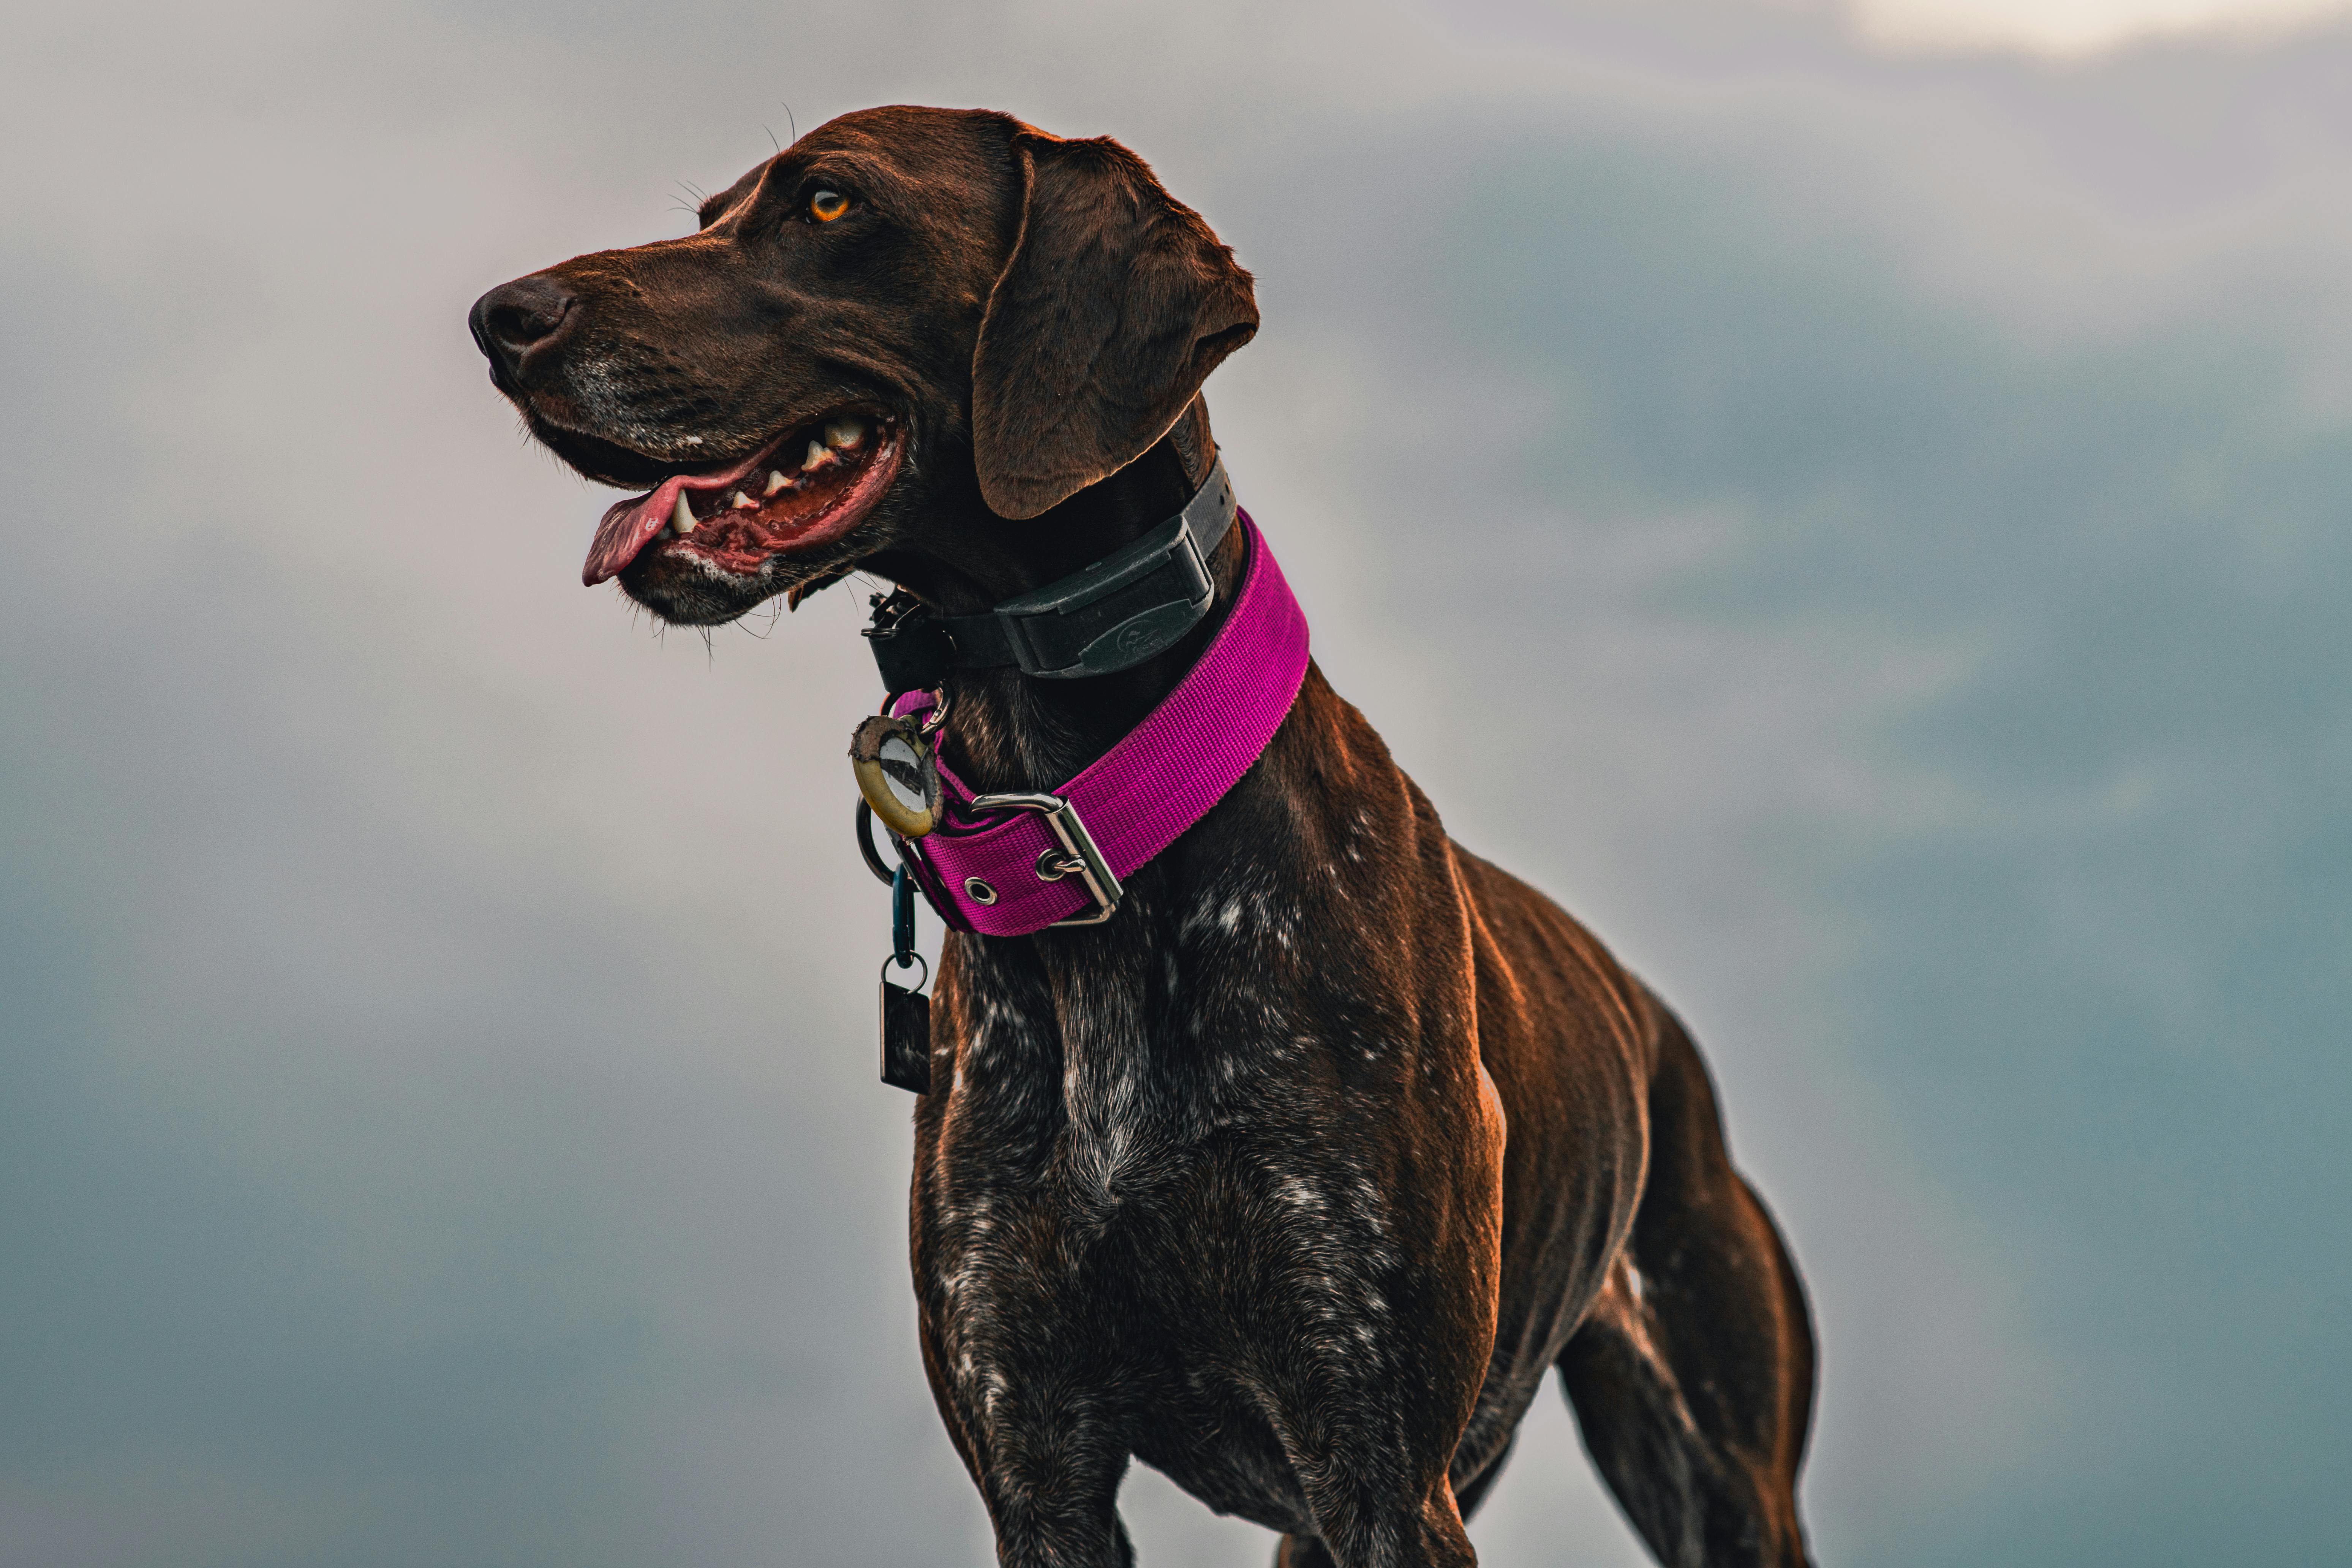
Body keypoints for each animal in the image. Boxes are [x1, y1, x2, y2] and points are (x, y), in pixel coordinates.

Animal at [463, 104, 1816, 1561]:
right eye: (713, 212)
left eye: (828, 202)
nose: (501, 317)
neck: (1095, 828)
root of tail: (1658, 1022)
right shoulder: (1037, 1452)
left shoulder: (1381, 1463)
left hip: (1717, 1472)